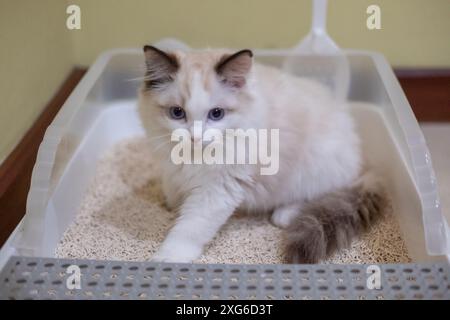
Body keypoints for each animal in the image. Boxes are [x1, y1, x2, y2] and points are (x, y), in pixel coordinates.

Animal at [139, 45, 384, 264]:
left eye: (216, 114)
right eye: (177, 113)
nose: (195, 138)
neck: (193, 156)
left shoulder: (217, 189)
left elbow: (189, 228)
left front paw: (168, 257)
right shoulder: (172, 171)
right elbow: (173, 191)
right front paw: (171, 205)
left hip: (314, 167)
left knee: (315, 195)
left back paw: (284, 215)